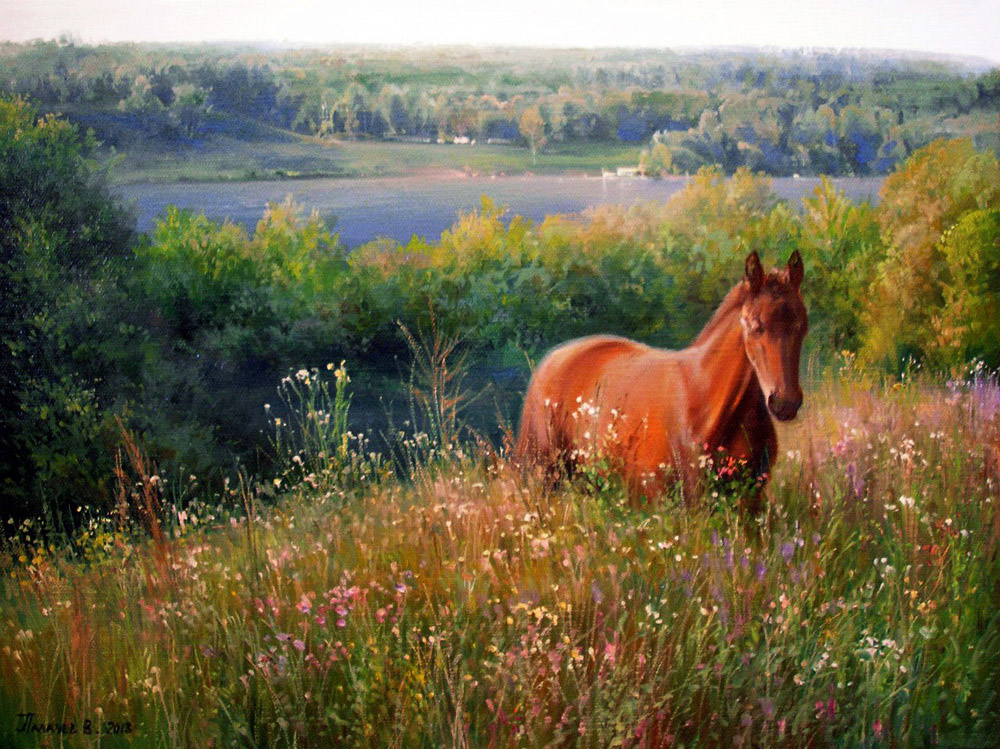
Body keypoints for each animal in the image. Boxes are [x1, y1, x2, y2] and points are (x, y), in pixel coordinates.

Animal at [512, 250, 808, 502]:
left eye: (802, 325)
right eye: (757, 326)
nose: (785, 403)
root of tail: (552, 360)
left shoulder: (752, 499)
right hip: (546, 477)